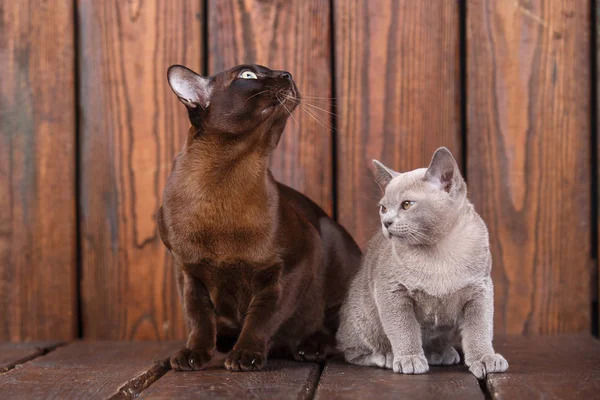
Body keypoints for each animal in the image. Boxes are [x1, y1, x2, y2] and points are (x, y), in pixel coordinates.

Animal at [157, 63, 360, 372]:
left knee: (335, 330)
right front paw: (193, 354)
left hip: (333, 242)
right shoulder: (189, 273)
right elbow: (198, 319)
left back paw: (309, 347)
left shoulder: (292, 266)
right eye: (248, 75)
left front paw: (245, 355)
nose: (287, 74)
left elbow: (262, 318)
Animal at [336, 147, 508, 378]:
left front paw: (484, 358)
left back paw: (440, 352)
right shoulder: (392, 292)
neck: (439, 253)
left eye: (407, 204)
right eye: (383, 208)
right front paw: (409, 358)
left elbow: (479, 330)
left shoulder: (480, 291)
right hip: (363, 320)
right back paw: (386, 356)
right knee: (352, 350)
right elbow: (404, 329)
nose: (386, 222)